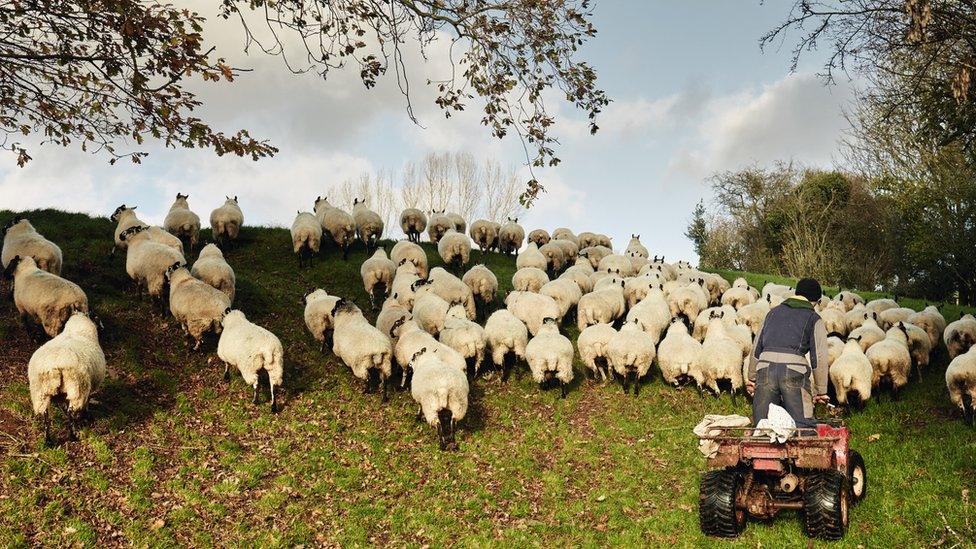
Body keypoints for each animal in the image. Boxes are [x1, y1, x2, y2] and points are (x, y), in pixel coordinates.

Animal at [27, 310, 104, 444]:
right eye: (97, 317)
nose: (103, 327)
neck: (78, 330)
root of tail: (53, 366)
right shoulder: (89, 385)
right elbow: (87, 402)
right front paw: (87, 417)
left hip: (40, 392)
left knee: (45, 415)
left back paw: (48, 441)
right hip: (77, 387)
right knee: (71, 412)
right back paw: (72, 436)